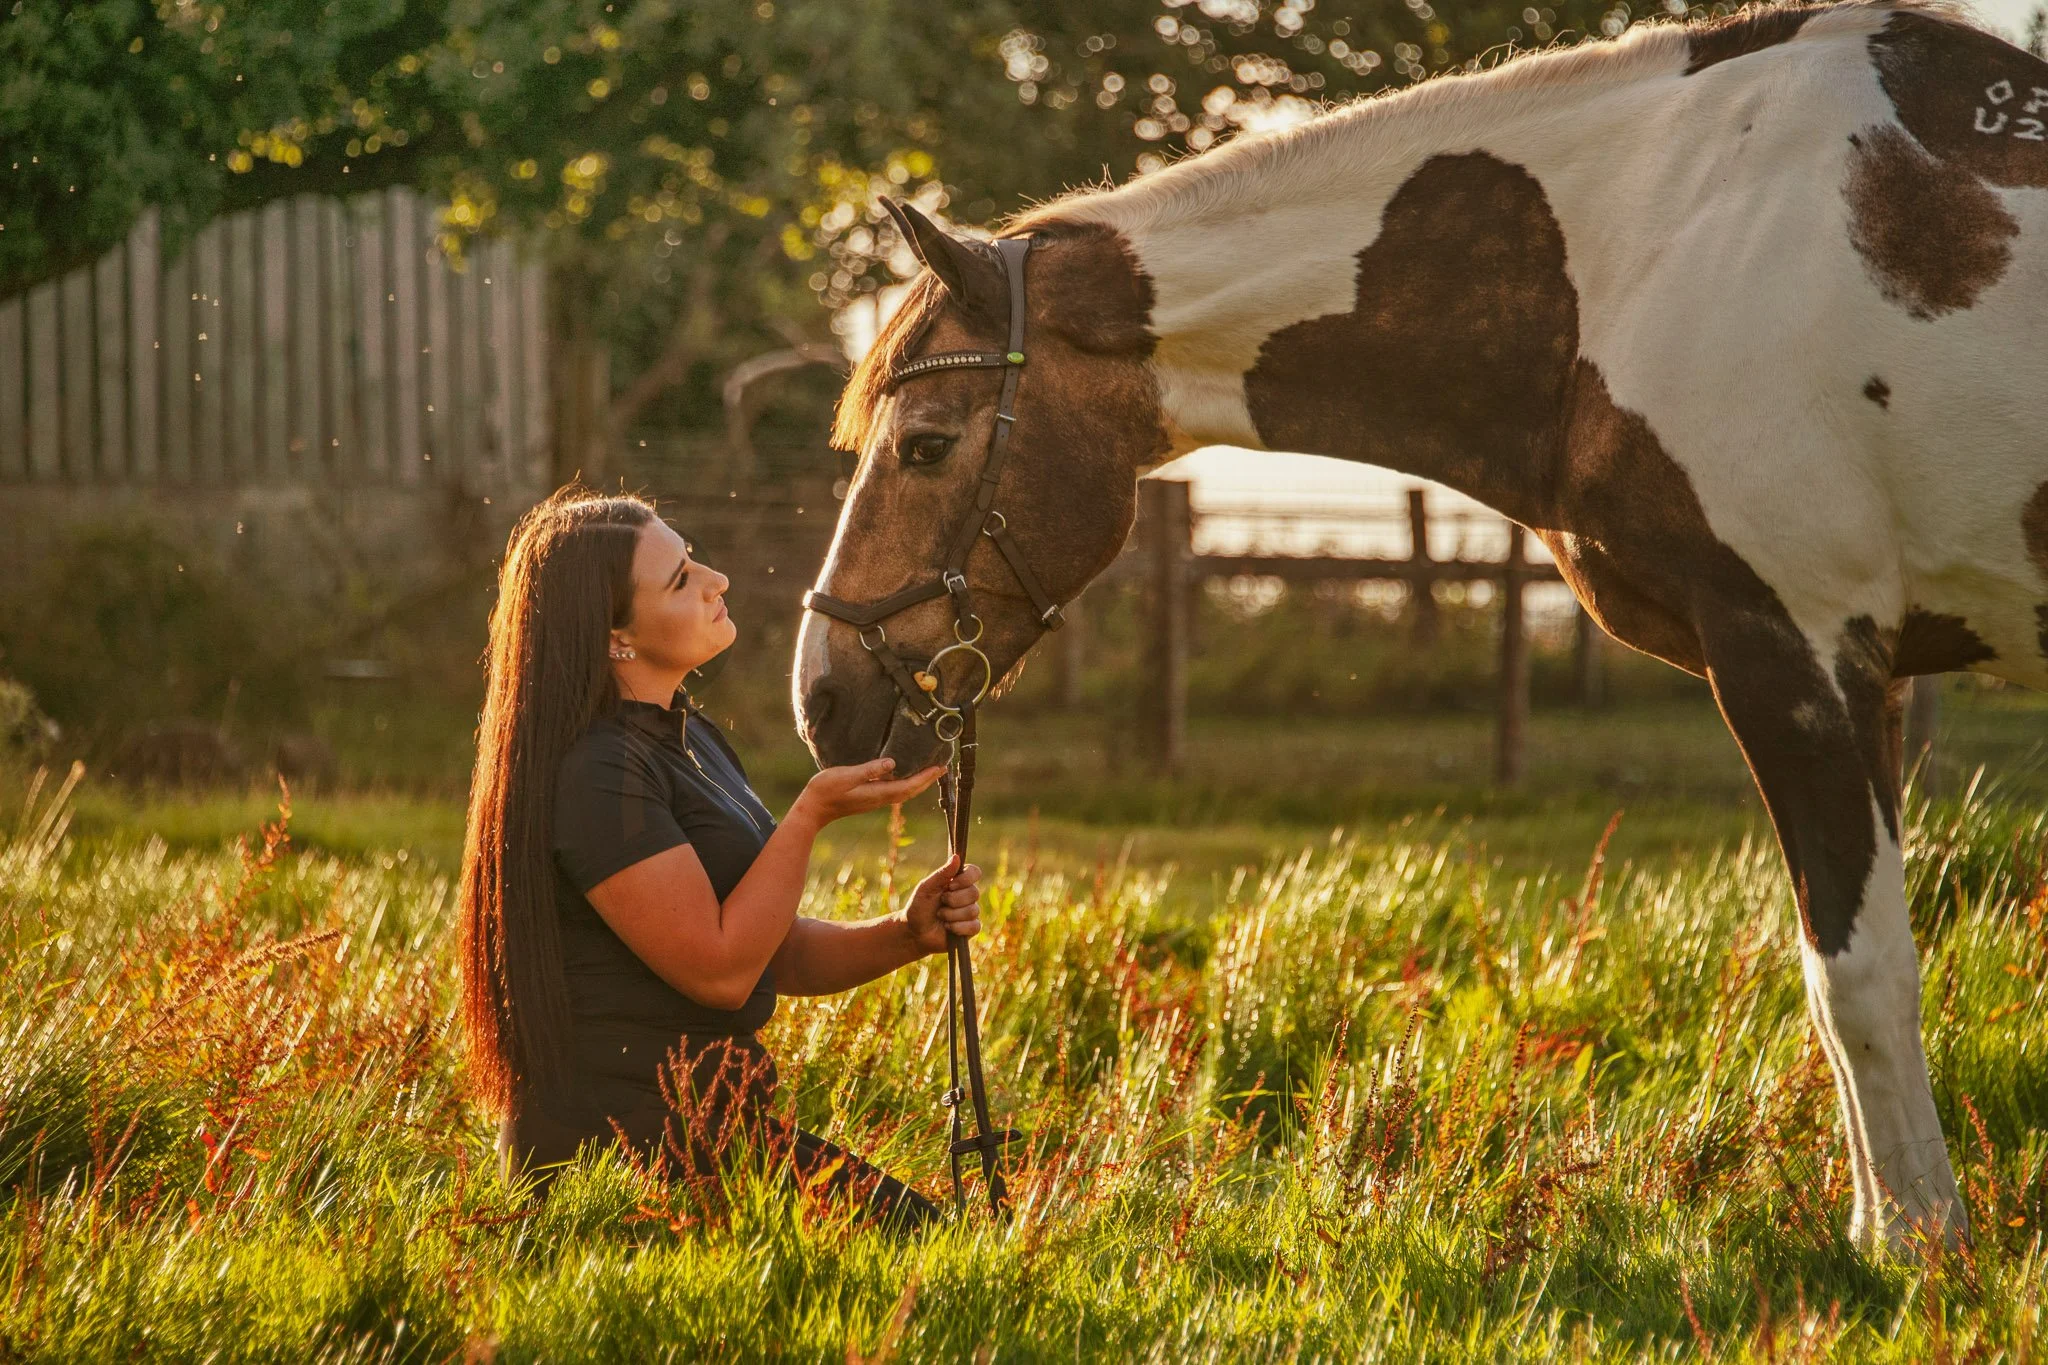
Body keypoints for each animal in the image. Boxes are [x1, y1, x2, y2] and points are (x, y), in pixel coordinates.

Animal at [793, 0, 2048, 1251]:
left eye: (926, 445)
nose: (821, 696)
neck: (1655, 245)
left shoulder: (1795, 650)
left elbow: (1856, 974)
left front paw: (1913, 1245)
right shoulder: (1861, 672)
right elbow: (1850, 973)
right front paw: (1893, 1229)